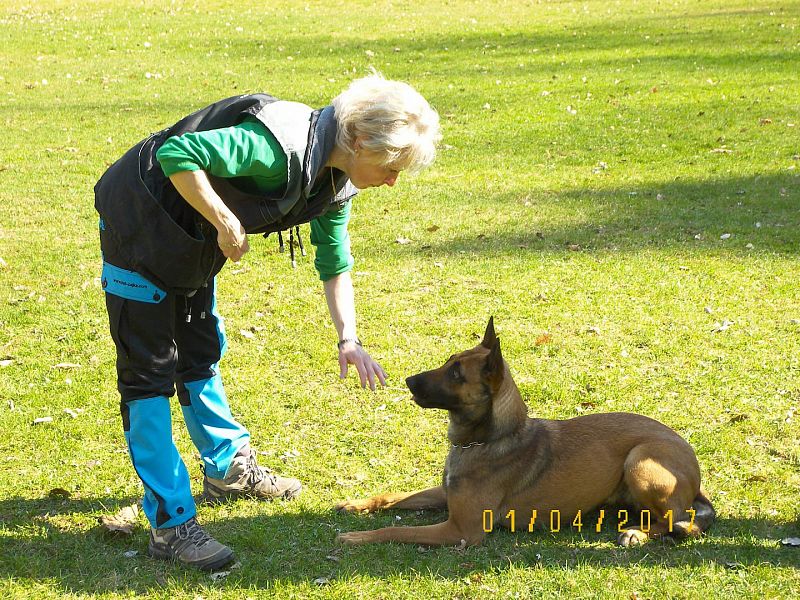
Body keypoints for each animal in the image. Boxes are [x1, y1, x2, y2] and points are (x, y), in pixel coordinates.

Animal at [334, 318, 716, 548]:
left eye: (457, 373)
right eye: (448, 360)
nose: (409, 380)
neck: (486, 440)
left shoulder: (461, 530)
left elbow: (395, 529)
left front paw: (356, 536)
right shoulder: (445, 495)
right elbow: (393, 496)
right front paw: (356, 503)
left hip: (640, 461)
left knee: (676, 521)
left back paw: (636, 533)